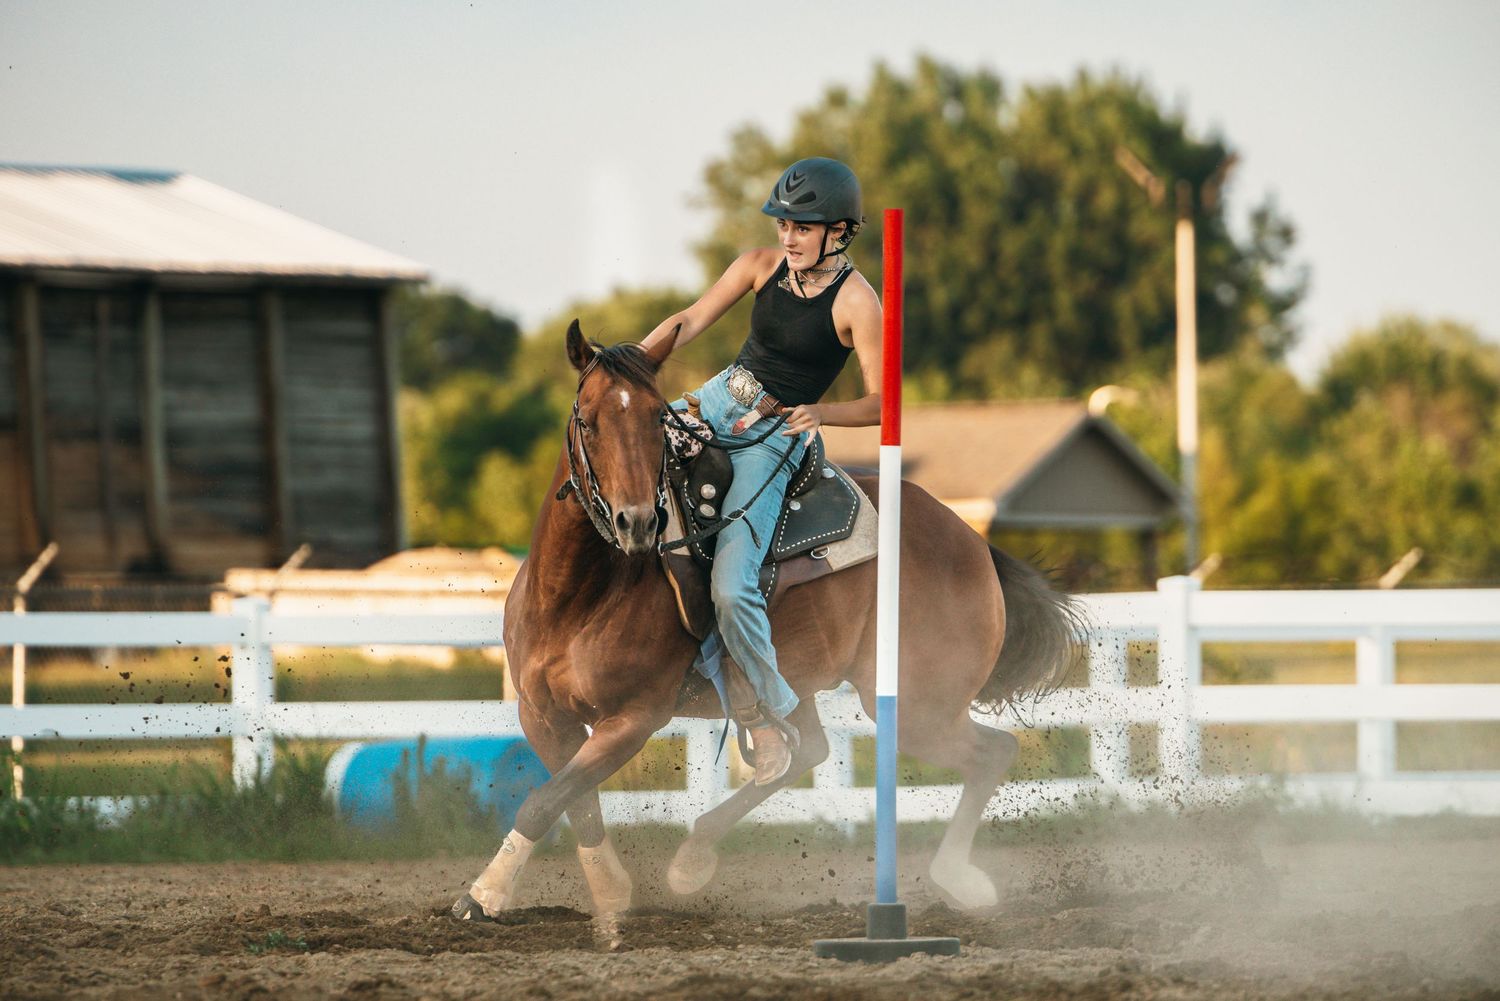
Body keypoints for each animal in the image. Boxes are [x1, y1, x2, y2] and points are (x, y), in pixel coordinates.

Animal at [450, 321, 1087, 922]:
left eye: (657, 419)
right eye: (587, 421)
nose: (638, 523)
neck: (578, 598)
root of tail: (974, 543)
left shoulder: (634, 719)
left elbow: (546, 799)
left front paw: (483, 894)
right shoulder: (541, 716)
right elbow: (572, 801)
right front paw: (610, 893)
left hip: (914, 705)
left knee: (991, 753)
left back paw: (957, 878)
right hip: (808, 682)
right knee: (809, 751)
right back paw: (693, 858)